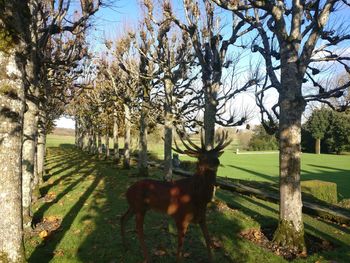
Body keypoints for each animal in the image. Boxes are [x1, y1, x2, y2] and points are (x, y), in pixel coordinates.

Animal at [120, 132, 232, 263]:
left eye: (215, 154)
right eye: (202, 157)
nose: (216, 162)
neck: (199, 198)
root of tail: (127, 191)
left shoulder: (202, 217)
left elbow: (208, 239)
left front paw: (211, 258)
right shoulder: (180, 217)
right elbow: (180, 246)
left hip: (135, 207)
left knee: (123, 218)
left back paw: (126, 246)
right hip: (140, 207)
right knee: (139, 229)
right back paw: (147, 257)